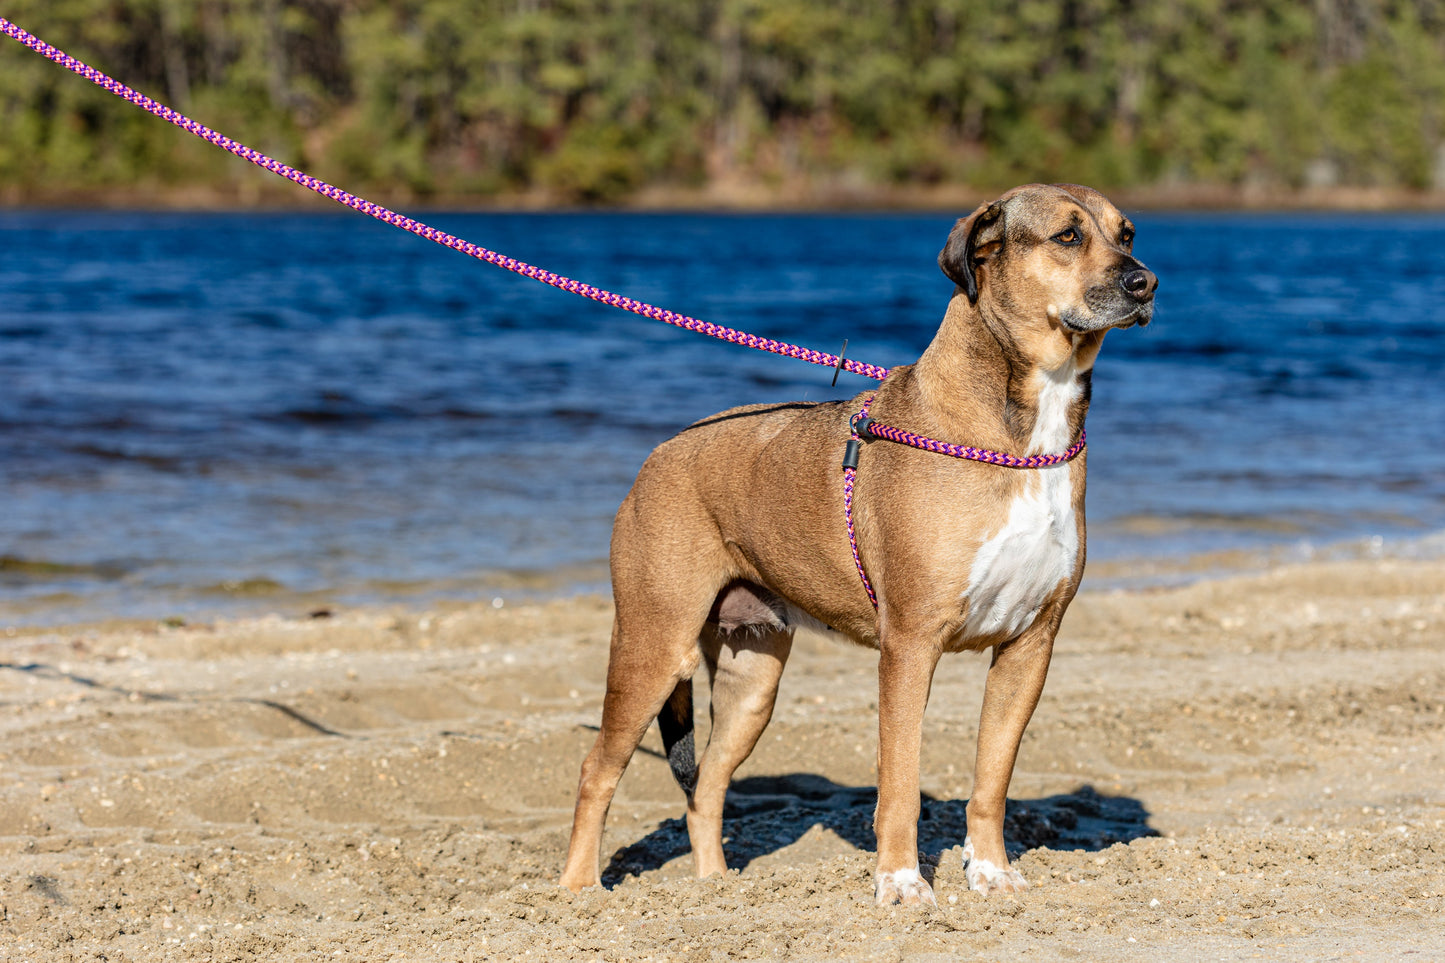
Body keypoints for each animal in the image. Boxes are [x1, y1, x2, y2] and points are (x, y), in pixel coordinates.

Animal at [557, 183, 1156, 902]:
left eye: (1126, 234)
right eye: (1067, 236)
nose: (1145, 282)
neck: (1022, 429)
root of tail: (658, 454)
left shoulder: (1029, 645)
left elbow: (991, 779)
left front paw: (990, 871)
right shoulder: (910, 645)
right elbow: (899, 782)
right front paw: (899, 883)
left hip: (752, 679)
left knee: (707, 787)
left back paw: (717, 890)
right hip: (652, 647)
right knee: (597, 770)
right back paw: (577, 892)